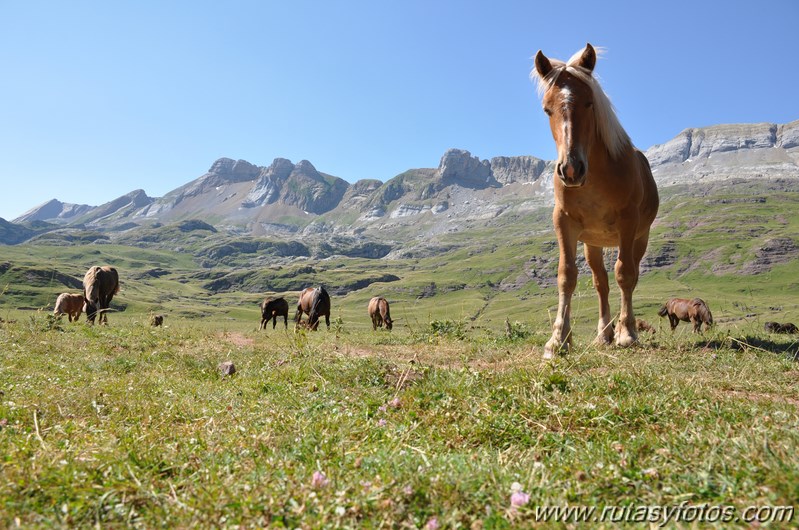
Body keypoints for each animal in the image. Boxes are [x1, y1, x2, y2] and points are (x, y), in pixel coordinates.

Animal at [536, 40, 660, 354]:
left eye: (589, 103)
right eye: (547, 109)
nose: (570, 169)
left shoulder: (628, 223)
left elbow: (625, 274)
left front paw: (627, 333)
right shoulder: (564, 222)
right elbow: (566, 276)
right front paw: (558, 339)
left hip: (639, 237)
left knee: (629, 275)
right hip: (592, 243)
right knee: (600, 282)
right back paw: (603, 333)